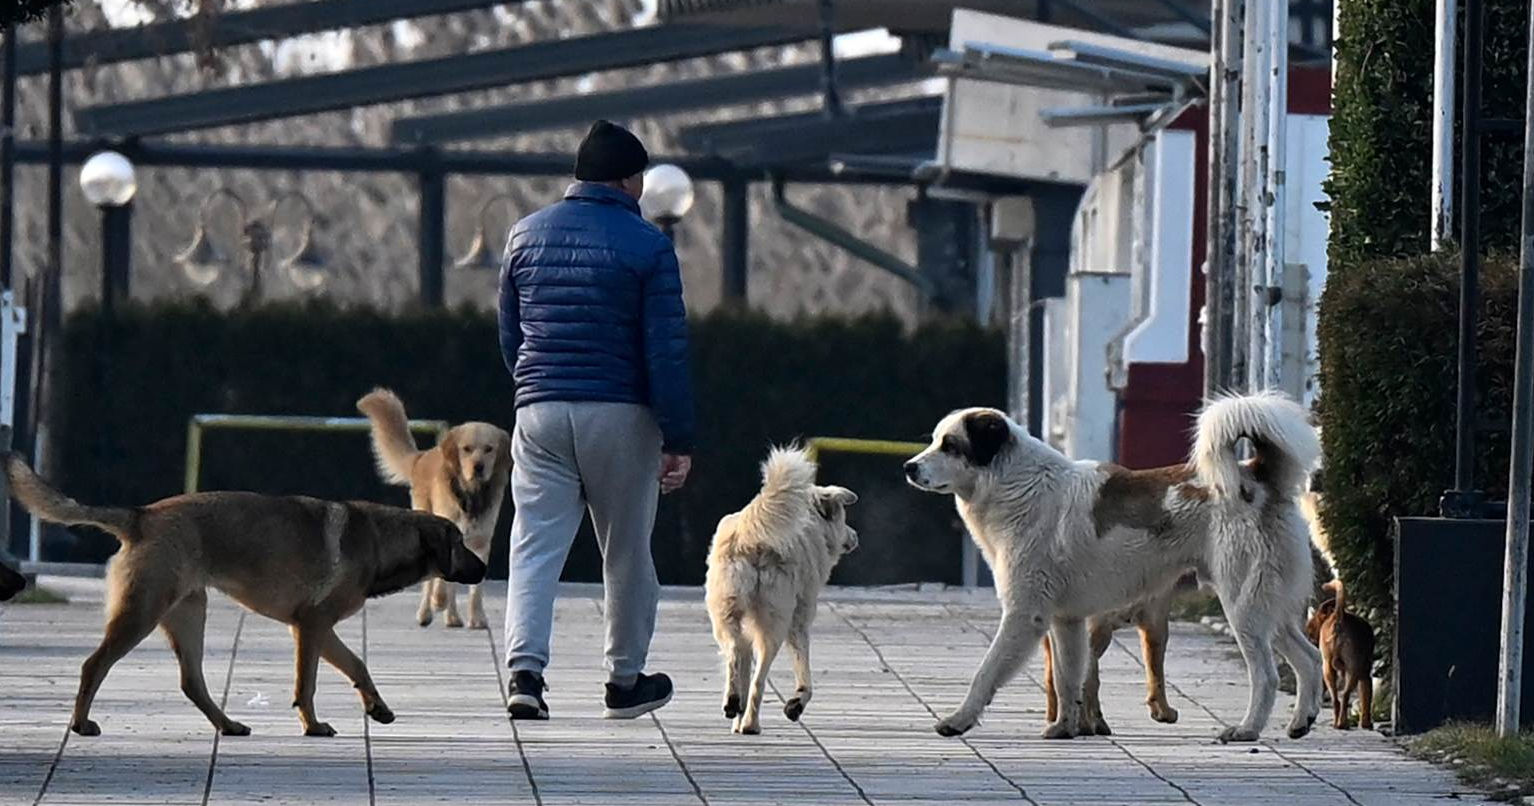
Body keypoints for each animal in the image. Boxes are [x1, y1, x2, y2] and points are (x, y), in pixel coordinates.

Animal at [4, 451, 484, 733]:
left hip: (188, 615)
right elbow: (307, 683)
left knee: (191, 681)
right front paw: (313, 725)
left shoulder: (316, 628)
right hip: (141, 612)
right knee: (94, 664)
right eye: (459, 543)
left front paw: (376, 707)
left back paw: (229, 724)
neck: (382, 540)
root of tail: (141, 517)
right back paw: (81, 723)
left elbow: (357, 664)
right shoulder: (312, 627)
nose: (483, 568)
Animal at [355, 388, 512, 629]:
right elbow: (440, 581)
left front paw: (477, 617)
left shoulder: (481, 543)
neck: (469, 494)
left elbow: (475, 589)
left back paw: (453, 617)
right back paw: (427, 612)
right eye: (466, 449)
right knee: (430, 582)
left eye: (489, 449)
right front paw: (438, 601)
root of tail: (422, 456)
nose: (478, 467)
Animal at [702, 445, 859, 733]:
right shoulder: (799, 621)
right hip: (774, 625)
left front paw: (737, 718)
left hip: (724, 613)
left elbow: (743, 663)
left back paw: (733, 703)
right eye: (844, 520)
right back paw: (751, 724)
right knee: (759, 679)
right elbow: (803, 673)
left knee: (735, 651)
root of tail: (750, 535)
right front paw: (795, 704)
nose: (855, 536)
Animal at [901, 391, 1325, 743]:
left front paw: (958, 720)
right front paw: (1065, 728)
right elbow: (1069, 678)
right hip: (1270, 608)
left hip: (1242, 606)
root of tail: (1256, 475)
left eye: (950, 445)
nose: (908, 467)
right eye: (934, 440)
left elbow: (986, 672)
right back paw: (1301, 721)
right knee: (1310, 658)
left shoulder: (1025, 615)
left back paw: (1247, 729)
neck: (1016, 484)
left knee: (1267, 675)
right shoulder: (1067, 621)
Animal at [1306, 577, 1380, 727]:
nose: (1307, 632)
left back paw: (1337, 723)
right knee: (1345, 695)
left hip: (1328, 670)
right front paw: (1366, 723)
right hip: (1353, 670)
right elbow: (1366, 700)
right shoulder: (1365, 675)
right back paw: (1343, 723)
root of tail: (1339, 617)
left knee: (1336, 699)